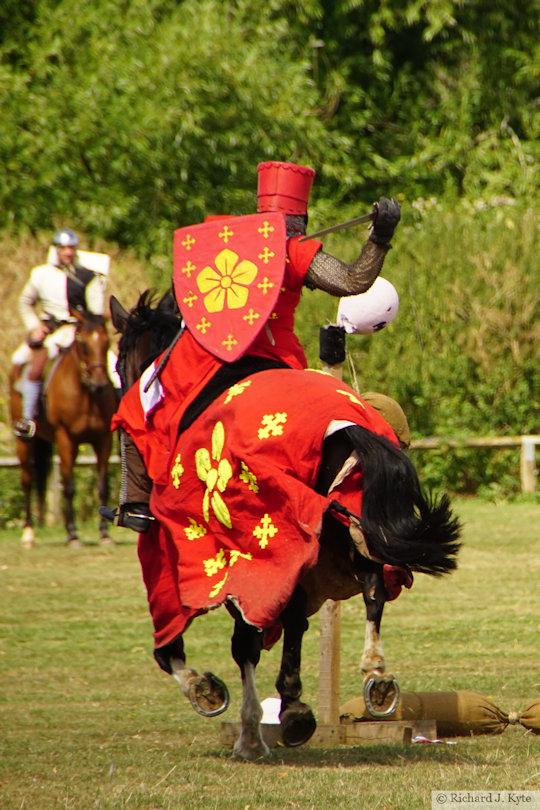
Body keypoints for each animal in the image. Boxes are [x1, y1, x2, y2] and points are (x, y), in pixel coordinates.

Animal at [8, 310, 118, 548]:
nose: (99, 384)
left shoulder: (104, 440)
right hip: (25, 441)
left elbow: (102, 486)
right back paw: (28, 532)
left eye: (106, 342)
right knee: (27, 481)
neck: (87, 395)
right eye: (83, 344)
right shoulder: (66, 439)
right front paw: (73, 535)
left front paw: (105, 534)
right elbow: (69, 486)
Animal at [109, 294, 460, 760]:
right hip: (345, 519)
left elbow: (212, 641)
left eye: (119, 364)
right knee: (372, 587)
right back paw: (376, 678)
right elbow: (291, 620)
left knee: (255, 633)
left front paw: (221, 702)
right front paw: (288, 708)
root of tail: (345, 426)